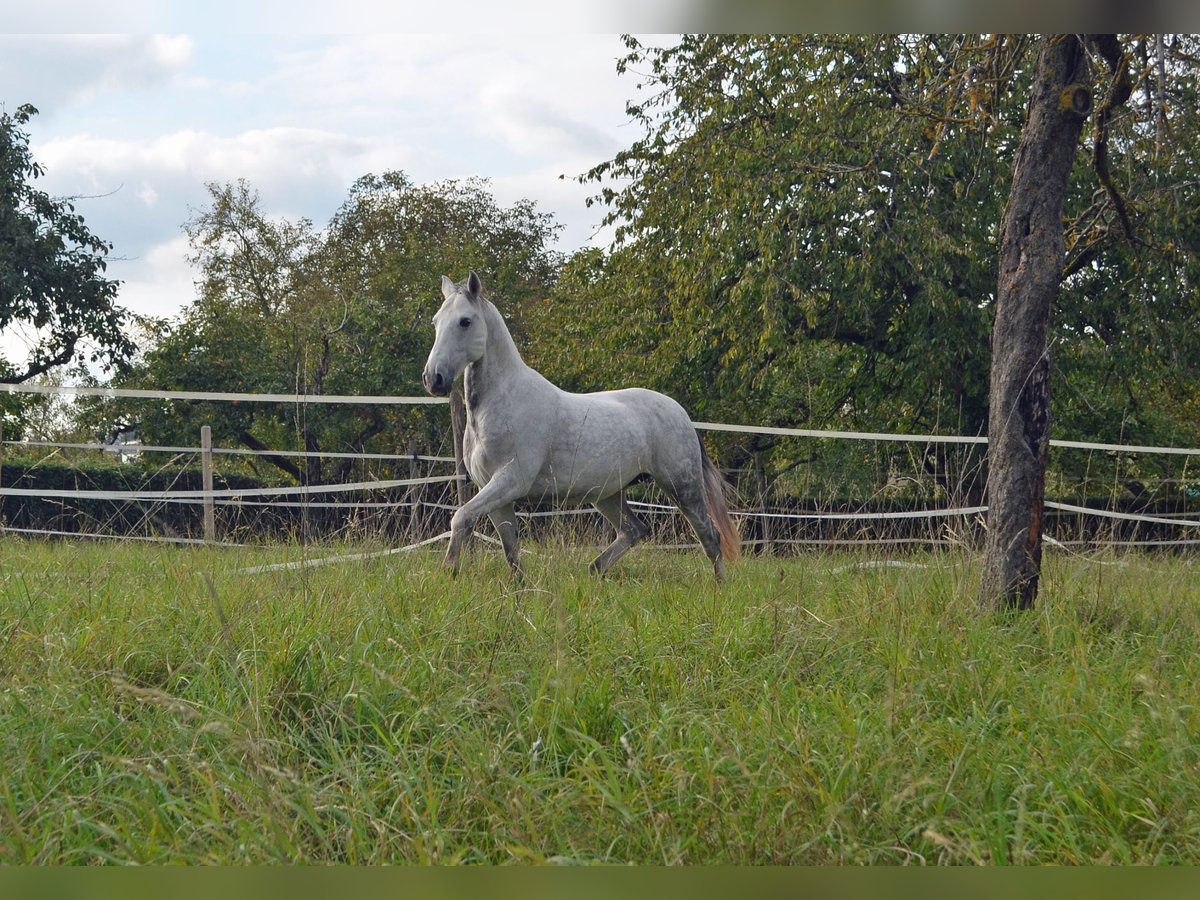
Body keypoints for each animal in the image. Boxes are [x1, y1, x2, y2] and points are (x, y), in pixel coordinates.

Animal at [421, 271, 741, 580]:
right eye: (436, 321)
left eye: (465, 321)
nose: (433, 379)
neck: (501, 402)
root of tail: (681, 413)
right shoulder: (496, 494)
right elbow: (511, 553)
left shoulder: (510, 480)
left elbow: (462, 517)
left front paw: (449, 571)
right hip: (608, 494)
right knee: (635, 530)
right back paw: (595, 569)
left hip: (682, 485)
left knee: (710, 537)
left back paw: (718, 587)